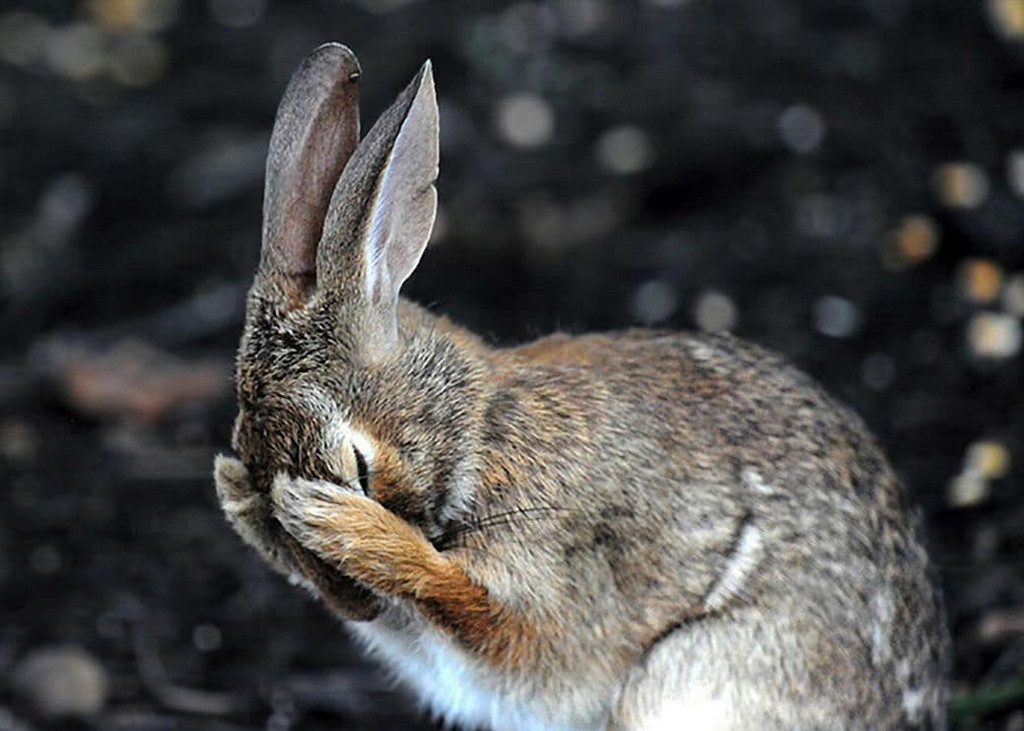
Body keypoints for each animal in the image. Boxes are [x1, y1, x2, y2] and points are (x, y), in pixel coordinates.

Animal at [214, 42, 950, 724]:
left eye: (357, 465)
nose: (355, 604)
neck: (478, 431)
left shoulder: (552, 575)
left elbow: (491, 615)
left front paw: (342, 524)